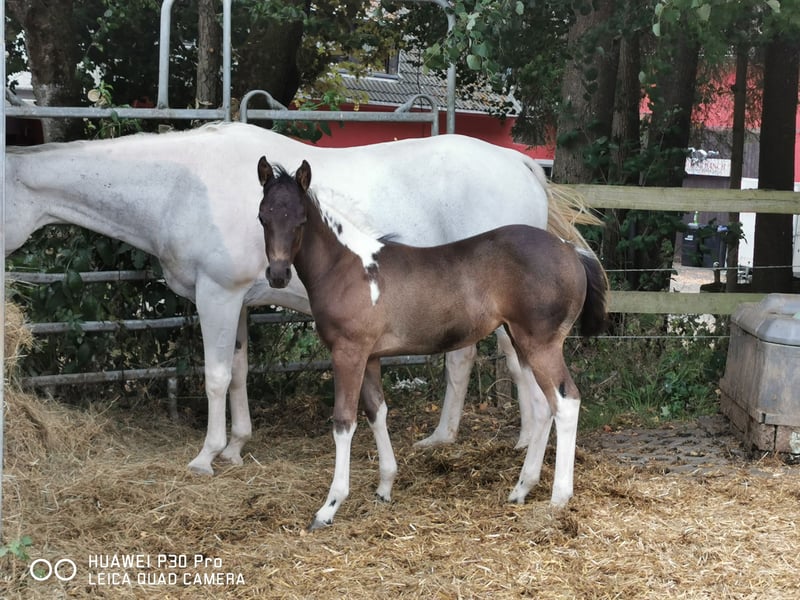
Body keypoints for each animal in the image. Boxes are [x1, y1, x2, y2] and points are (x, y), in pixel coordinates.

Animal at [4, 121, 596, 476]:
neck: (183, 184)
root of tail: (518, 163)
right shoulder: (238, 301)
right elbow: (239, 373)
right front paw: (237, 446)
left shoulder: (216, 295)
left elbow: (215, 376)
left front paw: (206, 455)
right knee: (475, 362)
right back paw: (455, 439)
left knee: (513, 367)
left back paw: (518, 444)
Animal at [257, 158, 608, 530]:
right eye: (263, 216)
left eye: (300, 220)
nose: (277, 275)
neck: (347, 267)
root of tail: (570, 249)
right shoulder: (370, 356)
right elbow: (377, 411)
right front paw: (384, 487)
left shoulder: (348, 352)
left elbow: (344, 421)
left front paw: (329, 507)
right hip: (522, 340)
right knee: (544, 406)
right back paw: (521, 489)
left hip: (541, 344)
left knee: (566, 402)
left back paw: (558, 498)